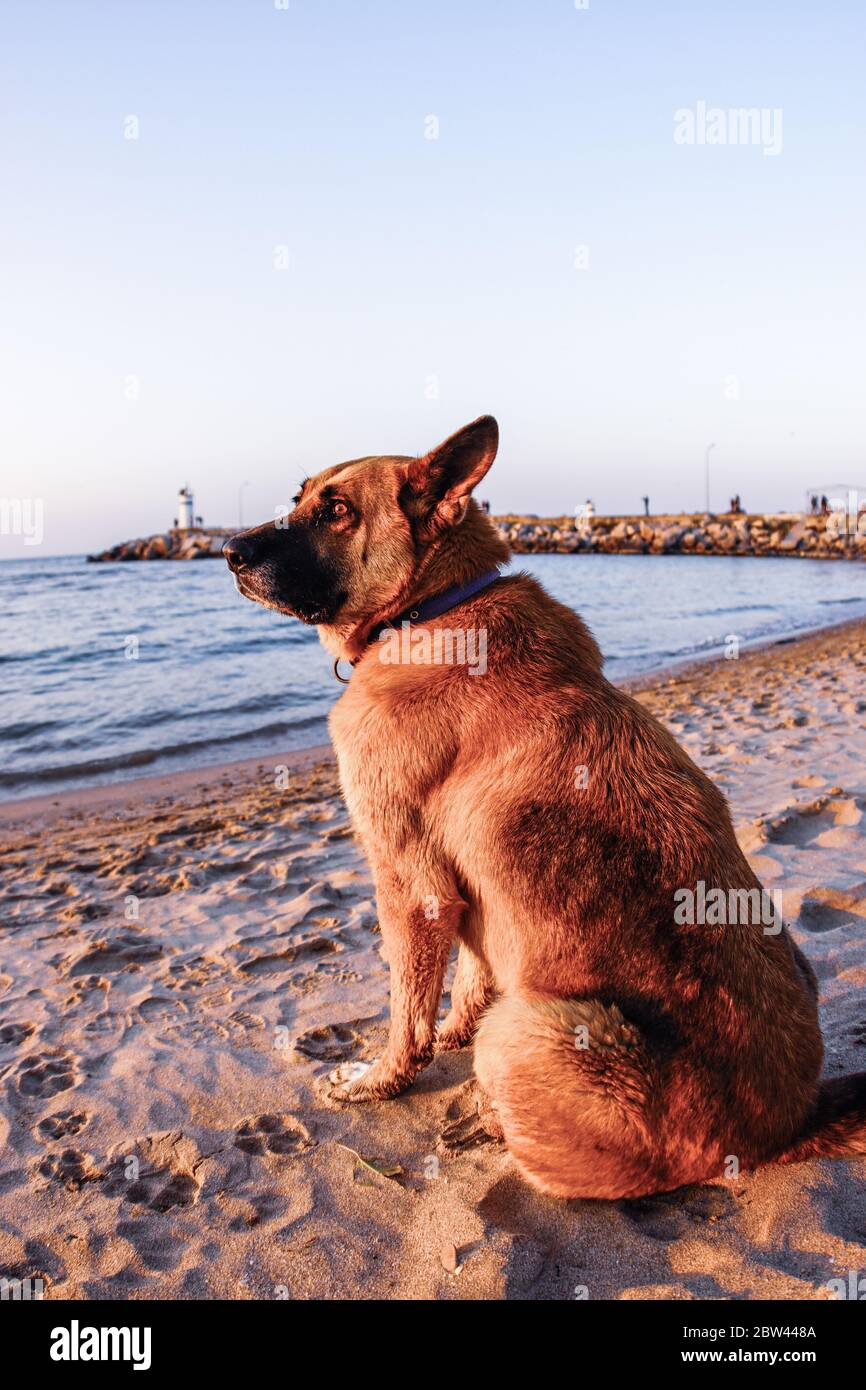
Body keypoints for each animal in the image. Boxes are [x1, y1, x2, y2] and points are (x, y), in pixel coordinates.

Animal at [226, 408, 866, 1195]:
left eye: (337, 510)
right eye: (301, 496)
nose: (227, 551)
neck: (432, 608)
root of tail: (781, 1132)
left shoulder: (411, 886)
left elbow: (406, 1010)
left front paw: (381, 1079)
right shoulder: (468, 894)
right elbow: (467, 980)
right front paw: (447, 1035)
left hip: (529, 1027)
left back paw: (487, 1120)